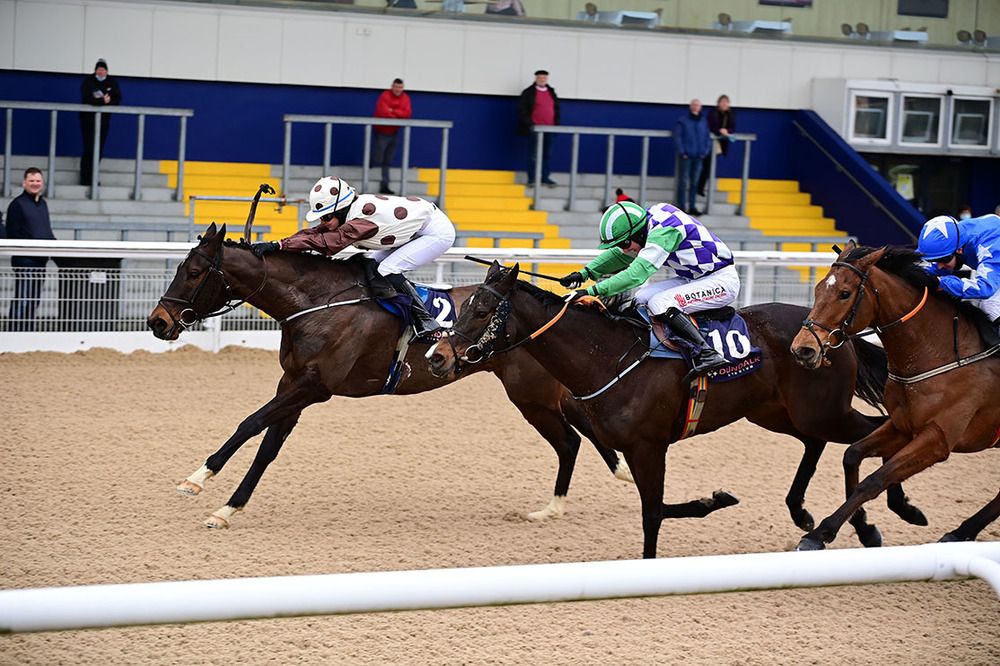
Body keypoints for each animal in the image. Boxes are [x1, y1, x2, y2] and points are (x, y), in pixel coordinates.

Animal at [426, 262, 928, 558]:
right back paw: (814, 517)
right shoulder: (632, 448)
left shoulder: (649, 446)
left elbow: (654, 512)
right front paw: (715, 499)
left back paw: (890, 512)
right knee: (821, 442)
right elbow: (661, 507)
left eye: (481, 310)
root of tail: (830, 333)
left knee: (875, 432)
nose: (437, 357)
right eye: (464, 305)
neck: (607, 356)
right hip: (779, 412)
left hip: (821, 409)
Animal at [791, 243, 1000, 550]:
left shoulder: (937, 440)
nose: (803, 349)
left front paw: (819, 533)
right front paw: (901, 511)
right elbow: (853, 455)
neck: (940, 352)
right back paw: (960, 532)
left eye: (845, 293)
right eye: (817, 289)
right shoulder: (903, 425)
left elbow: (874, 480)